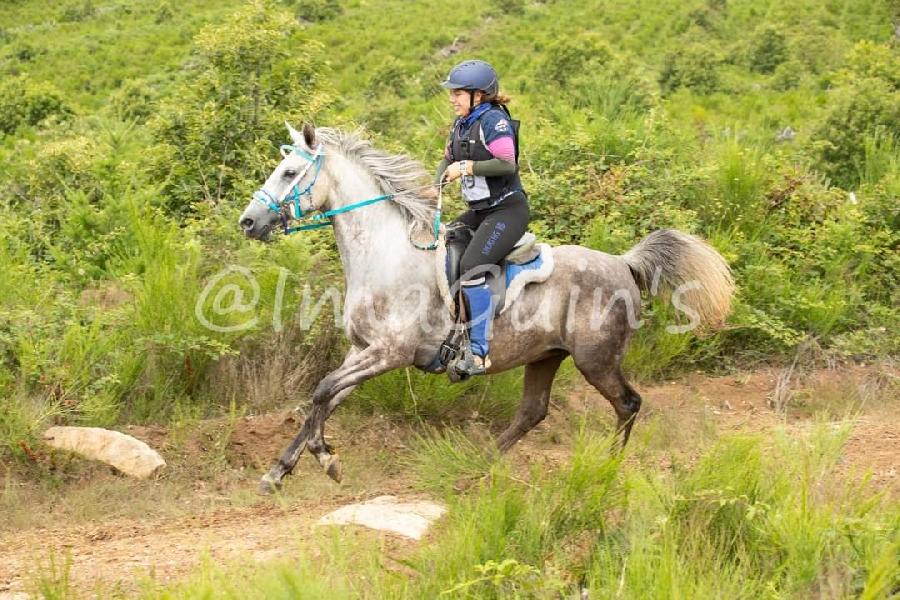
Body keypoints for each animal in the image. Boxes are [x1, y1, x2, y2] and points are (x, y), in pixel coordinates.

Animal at [241, 122, 740, 492]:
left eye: (289, 172)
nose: (248, 222)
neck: (386, 255)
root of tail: (623, 263)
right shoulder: (363, 351)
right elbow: (325, 397)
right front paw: (280, 470)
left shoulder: (391, 352)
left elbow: (323, 390)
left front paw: (325, 459)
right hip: (546, 355)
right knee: (533, 412)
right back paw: (479, 463)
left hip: (595, 359)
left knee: (628, 404)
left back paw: (608, 468)